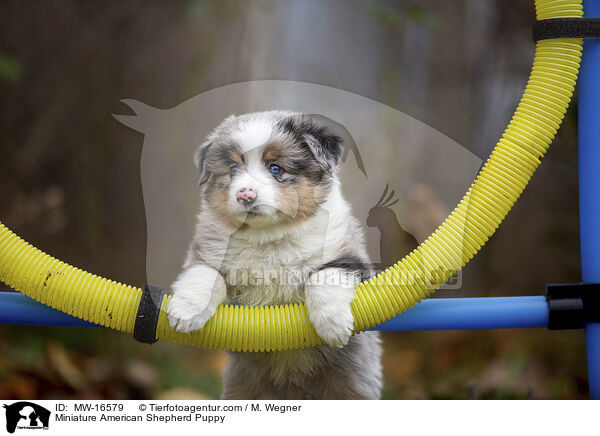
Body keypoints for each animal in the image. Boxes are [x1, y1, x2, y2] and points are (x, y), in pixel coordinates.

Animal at [166, 111, 382, 398]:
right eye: (233, 169)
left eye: (276, 168)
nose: (245, 194)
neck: (268, 237)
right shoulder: (207, 252)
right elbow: (203, 275)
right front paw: (185, 313)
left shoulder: (351, 255)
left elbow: (324, 277)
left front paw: (333, 325)